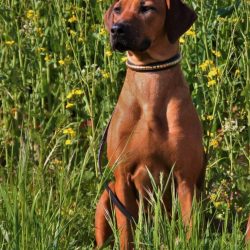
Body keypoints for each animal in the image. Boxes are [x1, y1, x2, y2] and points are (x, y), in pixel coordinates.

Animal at [94, 0, 205, 248]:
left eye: (147, 8)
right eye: (118, 9)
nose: (116, 29)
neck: (151, 84)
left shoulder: (186, 179)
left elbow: (190, 228)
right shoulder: (122, 179)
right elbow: (126, 232)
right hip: (107, 196)